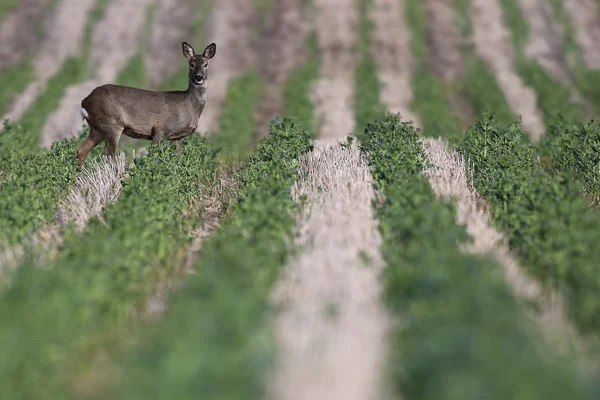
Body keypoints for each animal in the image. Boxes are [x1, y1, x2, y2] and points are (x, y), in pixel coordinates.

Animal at [74, 42, 216, 169]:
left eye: (205, 64)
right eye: (191, 64)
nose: (198, 77)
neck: (189, 106)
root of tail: (84, 102)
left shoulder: (177, 136)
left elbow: (179, 158)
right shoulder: (160, 129)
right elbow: (154, 157)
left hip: (97, 128)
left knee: (81, 150)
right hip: (112, 123)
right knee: (108, 155)